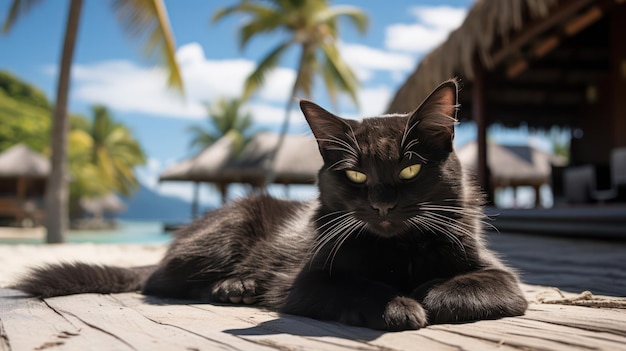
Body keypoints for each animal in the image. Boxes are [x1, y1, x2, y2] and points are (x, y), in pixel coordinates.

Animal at [12, 80, 524, 332]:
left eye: (410, 170)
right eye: (356, 176)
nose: (382, 207)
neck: (399, 250)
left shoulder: (501, 275)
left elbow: (480, 285)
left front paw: (430, 292)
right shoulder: (309, 283)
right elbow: (362, 287)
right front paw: (402, 305)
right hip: (225, 231)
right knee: (161, 282)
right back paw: (233, 286)